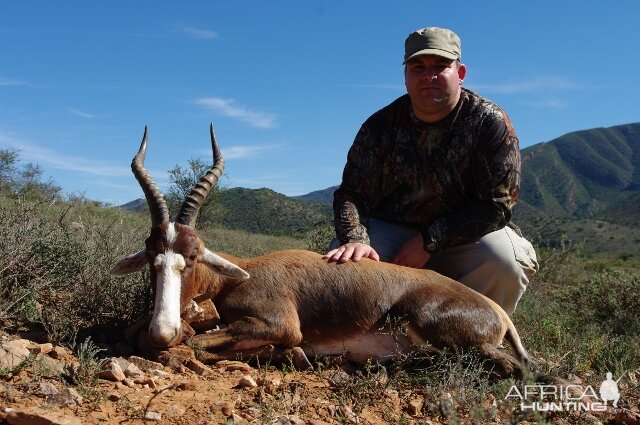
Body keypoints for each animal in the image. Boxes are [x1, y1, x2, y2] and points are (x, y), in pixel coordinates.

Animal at [112, 125, 544, 378]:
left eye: (194, 256)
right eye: (152, 259)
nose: (163, 329)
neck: (240, 273)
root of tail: (498, 311)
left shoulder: (280, 324)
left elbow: (199, 344)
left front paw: (293, 355)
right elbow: (141, 334)